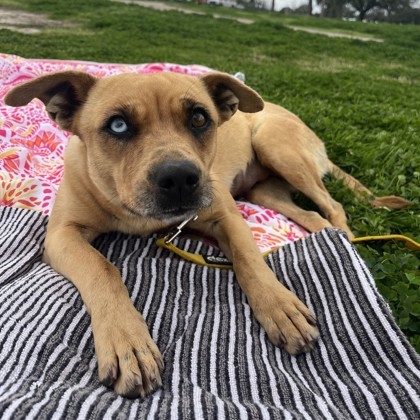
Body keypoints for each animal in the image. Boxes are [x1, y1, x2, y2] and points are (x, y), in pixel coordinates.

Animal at [4, 71, 410, 398]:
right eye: (117, 126)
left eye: (199, 118)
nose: (180, 177)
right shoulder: (62, 234)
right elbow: (102, 269)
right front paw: (127, 341)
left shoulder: (226, 215)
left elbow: (249, 258)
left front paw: (280, 307)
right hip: (266, 191)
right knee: (312, 215)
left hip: (279, 148)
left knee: (334, 205)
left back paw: (350, 245)